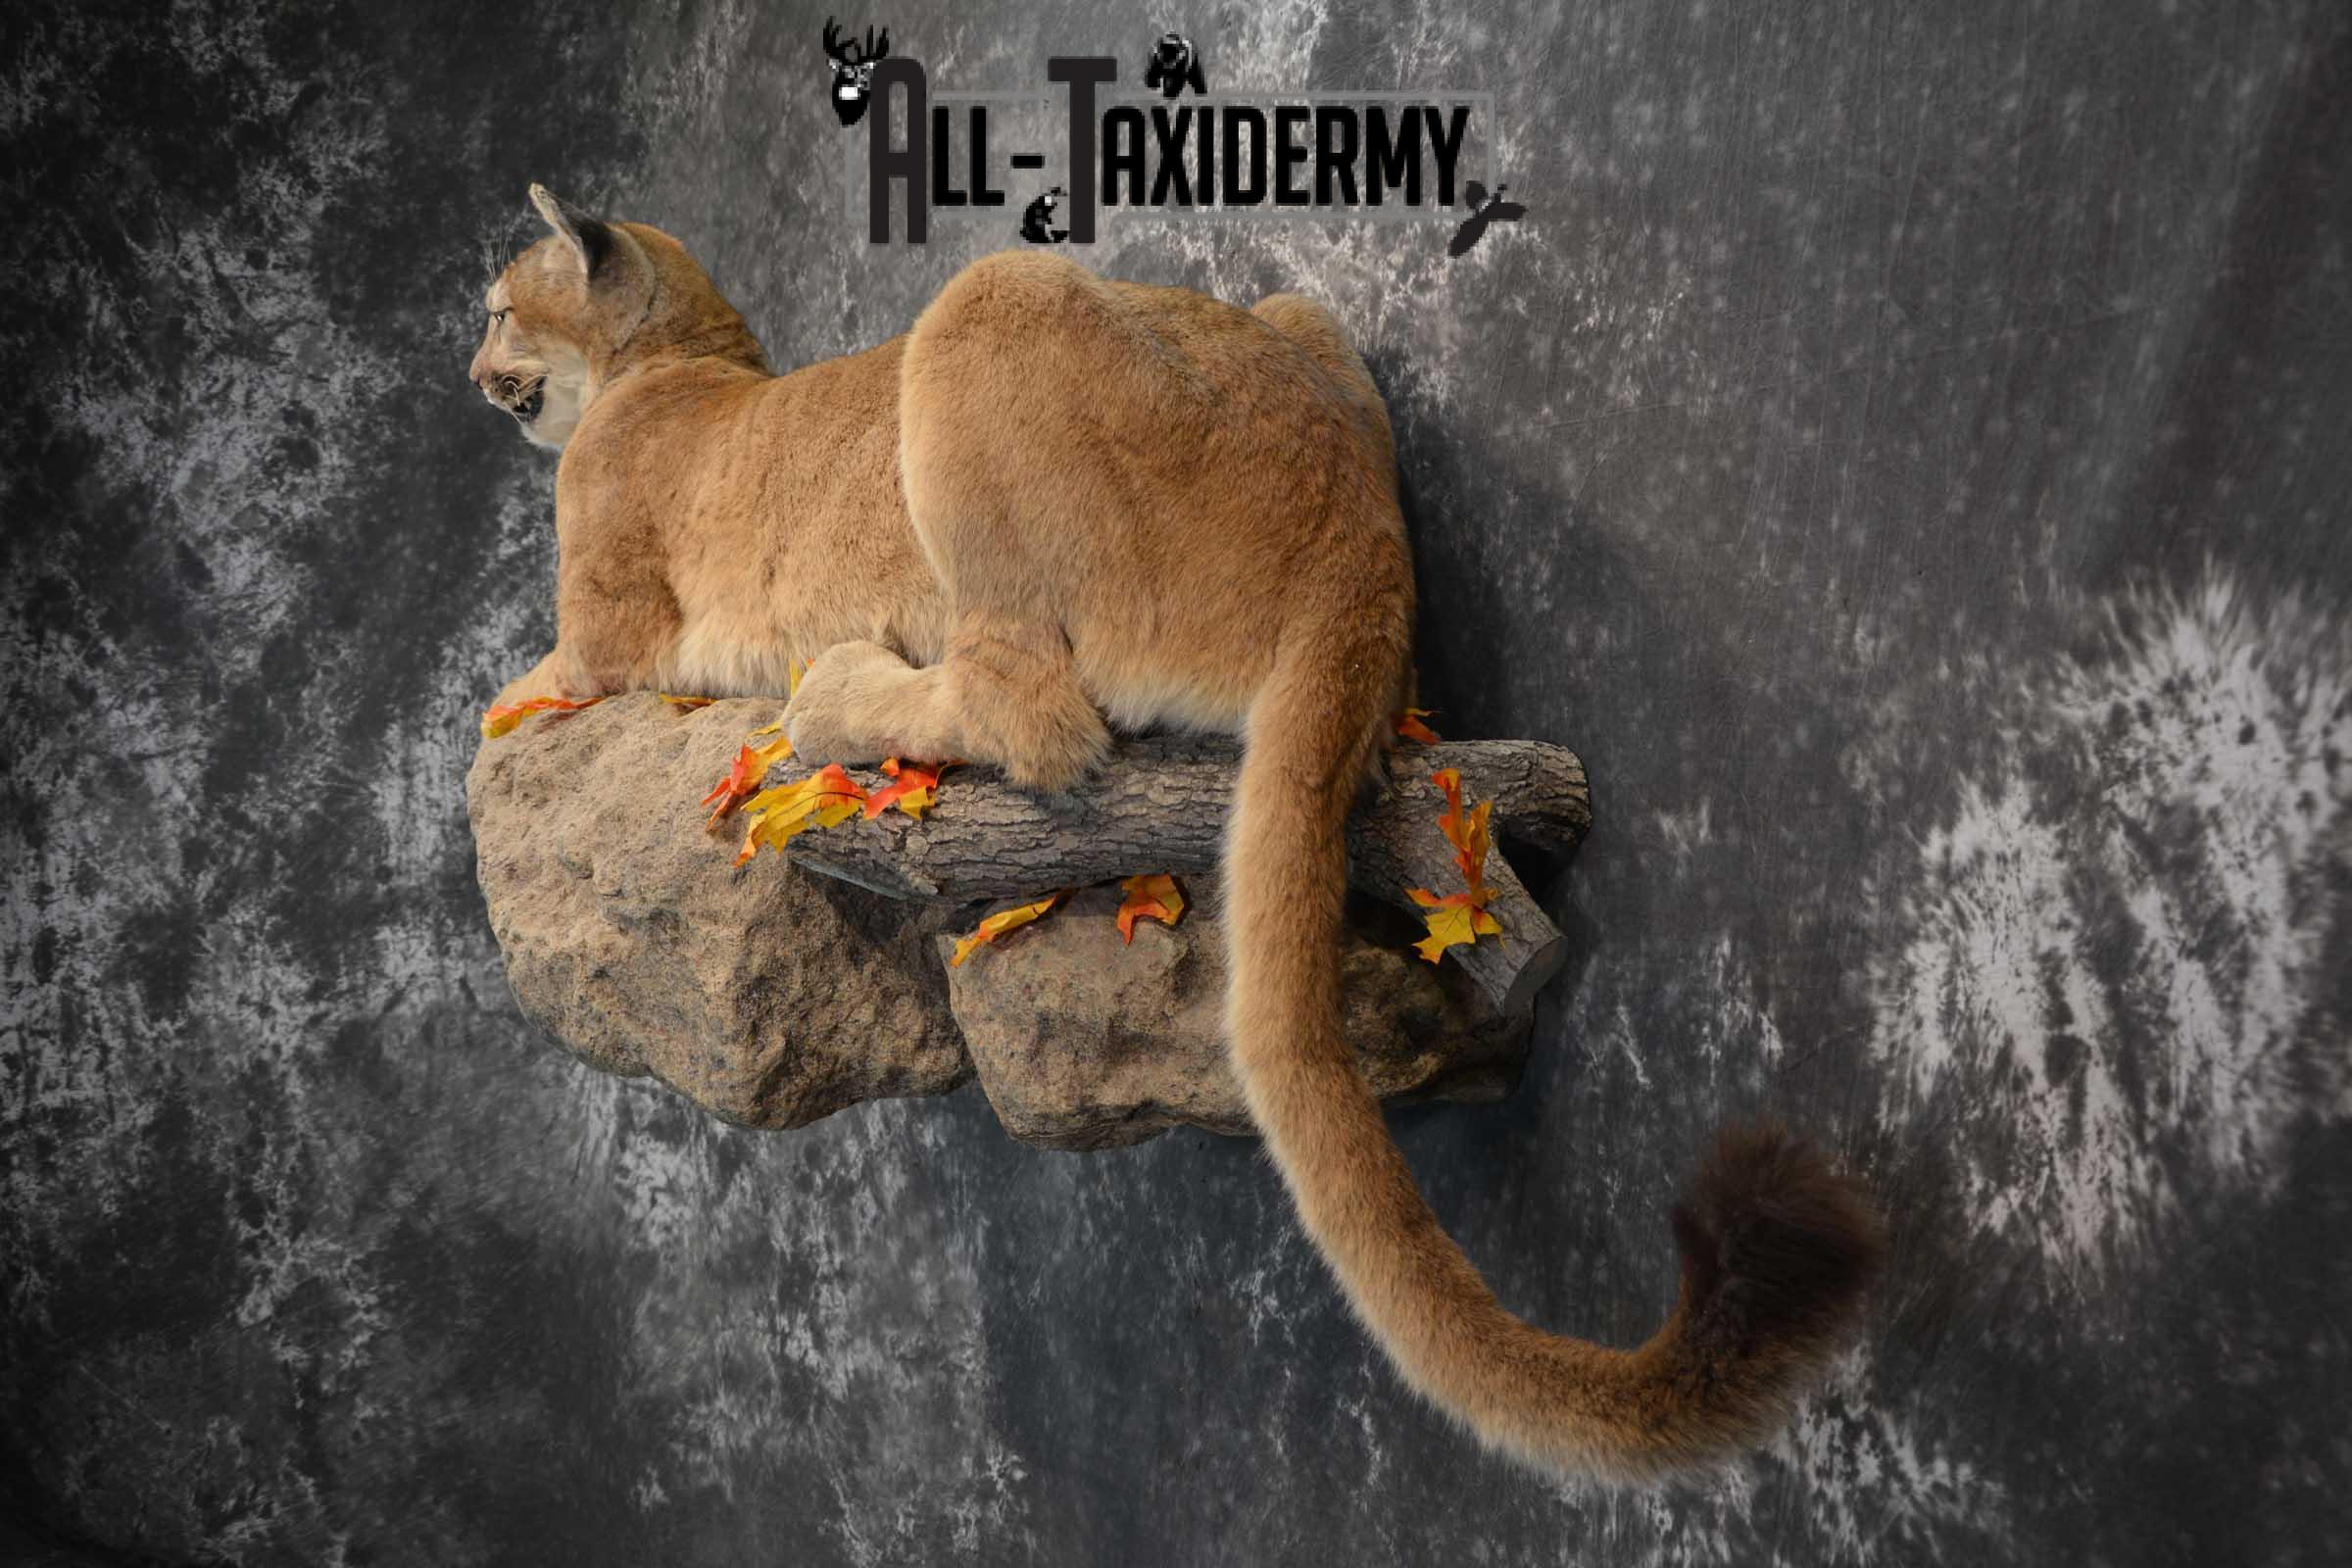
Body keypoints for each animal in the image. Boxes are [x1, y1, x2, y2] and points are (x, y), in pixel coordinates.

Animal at [468, 183, 1883, 1480]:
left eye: (494, 309)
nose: (476, 377)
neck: (687, 352)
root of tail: (1359, 544)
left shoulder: (603, 634)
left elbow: (523, 694)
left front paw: (496, 713)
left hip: (990, 301)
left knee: (1027, 708)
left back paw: (833, 695)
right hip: (1302, 321)